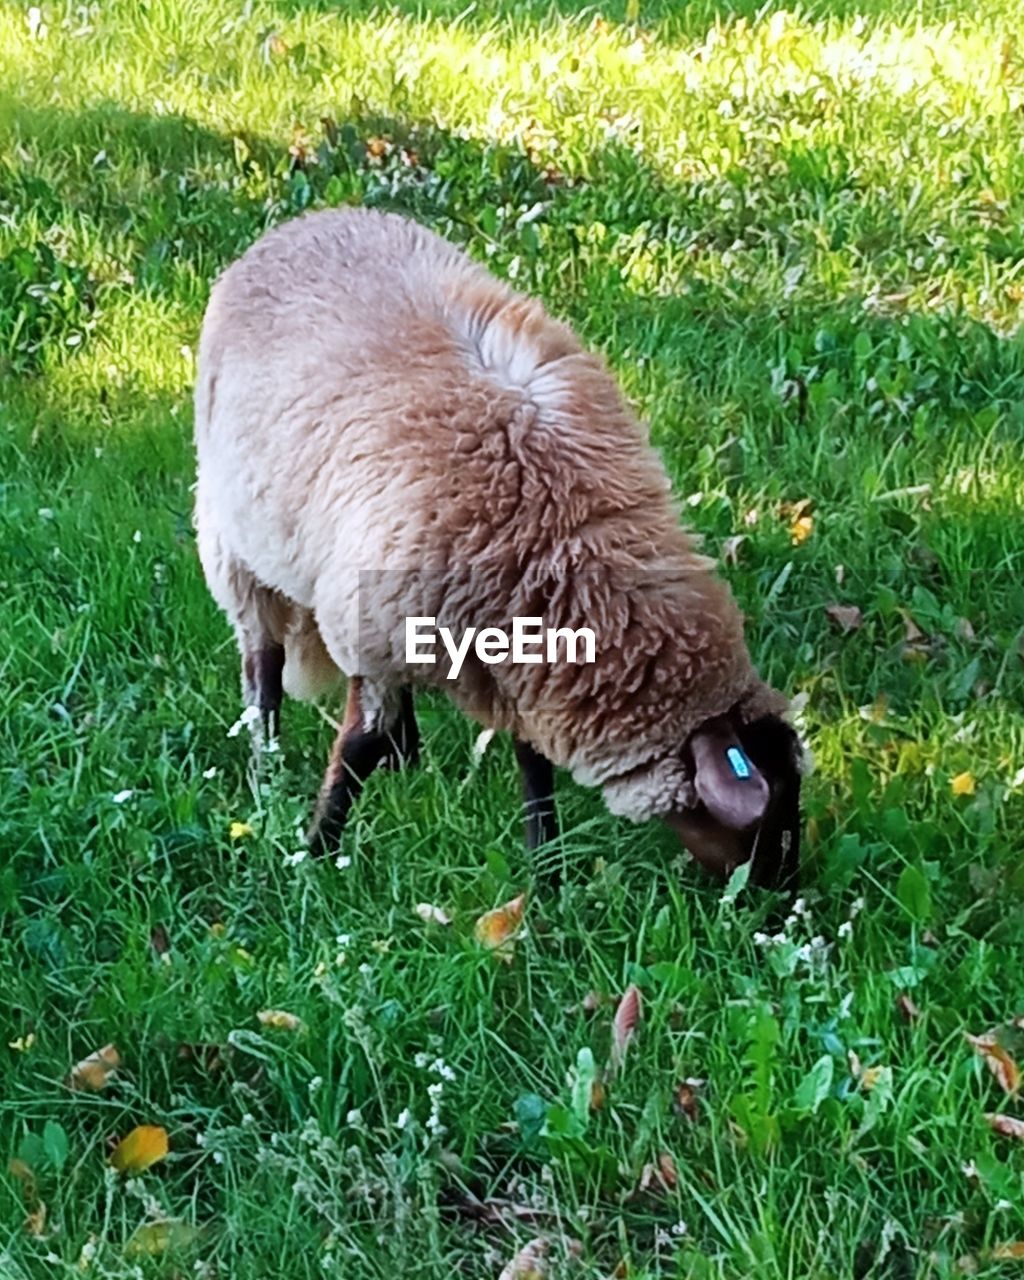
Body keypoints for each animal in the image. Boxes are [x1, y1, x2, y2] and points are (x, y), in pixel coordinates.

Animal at [189, 209, 798, 890]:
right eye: (772, 817)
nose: (783, 893)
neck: (563, 535)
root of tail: (306, 220)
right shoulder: (373, 635)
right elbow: (355, 749)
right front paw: (318, 853)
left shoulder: (512, 667)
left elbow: (532, 761)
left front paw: (545, 868)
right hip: (232, 542)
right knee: (261, 666)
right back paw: (266, 765)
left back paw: (406, 760)